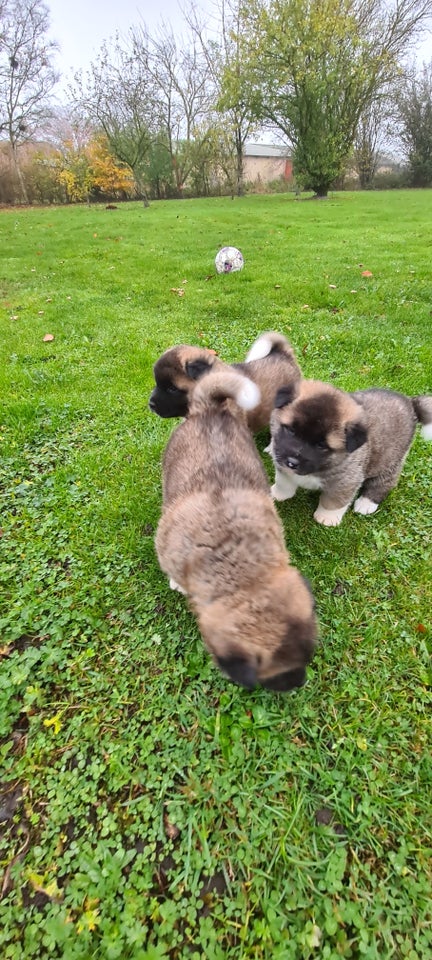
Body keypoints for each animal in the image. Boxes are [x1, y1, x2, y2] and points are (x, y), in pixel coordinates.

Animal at [268, 378, 430, 524]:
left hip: (390, 461)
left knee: (383, 483)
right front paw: (277, 494)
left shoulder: (344, 483)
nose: (292, 462)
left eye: (321, 445)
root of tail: (410, 402)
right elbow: (283, 483)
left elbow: (333, 502)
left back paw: (366, 503)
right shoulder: (282, 466)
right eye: (291, 430)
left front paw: (327, 517)